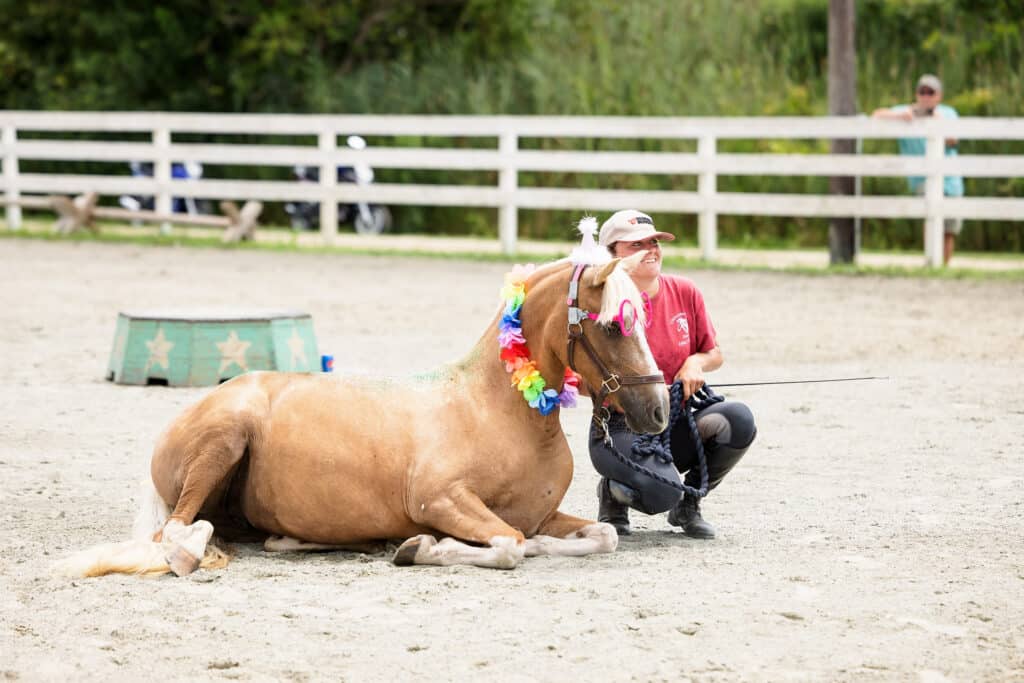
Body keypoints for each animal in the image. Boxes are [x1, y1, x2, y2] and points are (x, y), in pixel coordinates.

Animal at [56, 245, 667, 577]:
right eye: (615, 326)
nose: (660, 411)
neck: (497, 412)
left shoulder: (542, 513)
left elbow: (599, 536)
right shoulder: (441, 499)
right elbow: (508, 545)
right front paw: (421, 547)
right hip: (223, 440)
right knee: (179, 534)